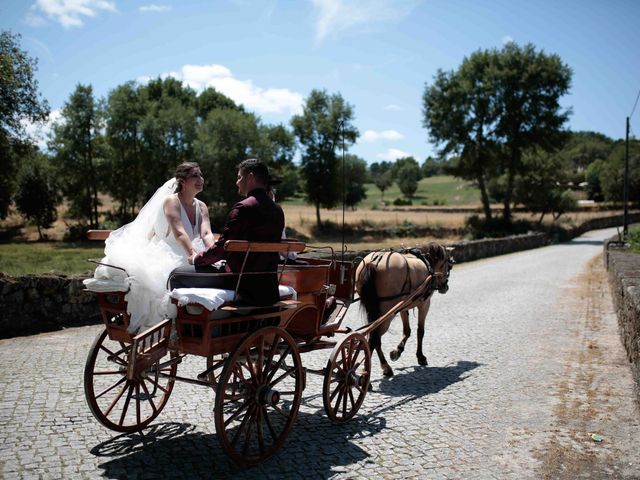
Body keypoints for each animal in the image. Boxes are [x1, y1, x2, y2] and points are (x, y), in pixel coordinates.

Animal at [352, 244, 452, 378]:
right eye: (448, 264)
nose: (445, 287)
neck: (427, 262)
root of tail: (374, 262)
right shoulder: (425, 304)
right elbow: (420, 331)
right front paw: (420, 356)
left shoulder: (403, 307)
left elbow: (407, 331)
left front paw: (397, 351)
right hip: (386, 314)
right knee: (373, 339)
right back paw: (366, 373)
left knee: (375, 339)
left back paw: (385, 367)